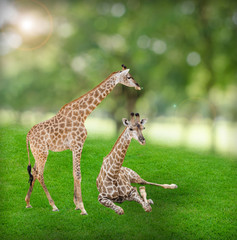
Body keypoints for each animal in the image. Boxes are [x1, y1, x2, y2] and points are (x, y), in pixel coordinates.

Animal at [25, 64, 142, 215]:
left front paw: (76, 205)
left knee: (33, 171)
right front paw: (82, 207)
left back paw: (28, 202)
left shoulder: (75, 146)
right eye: (128, 77)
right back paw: (54, 205)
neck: (83, 114)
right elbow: (78, 174)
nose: (138, 86)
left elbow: (74, 173)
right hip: (42, 153)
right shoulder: (78, 144)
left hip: (37, 152)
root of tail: (28, 135)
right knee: (39, 174)